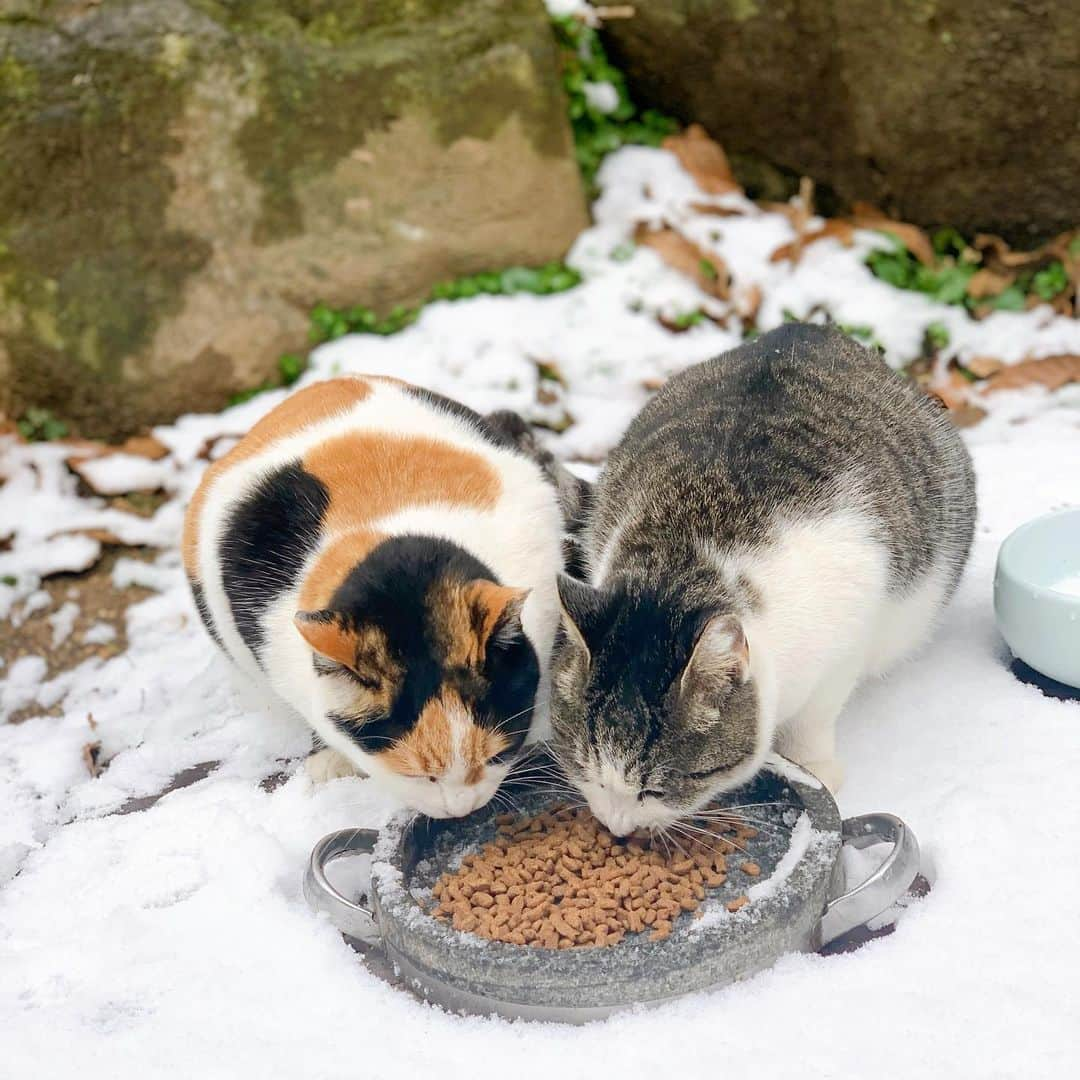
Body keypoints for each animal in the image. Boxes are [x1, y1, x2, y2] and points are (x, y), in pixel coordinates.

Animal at [548, 319, 980, 833]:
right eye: (584, 768)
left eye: (655, 789)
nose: (616, 828)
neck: (682, 564)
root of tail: (810, 328)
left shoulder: (847, 638)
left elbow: (816, 717)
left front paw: (814, 766)